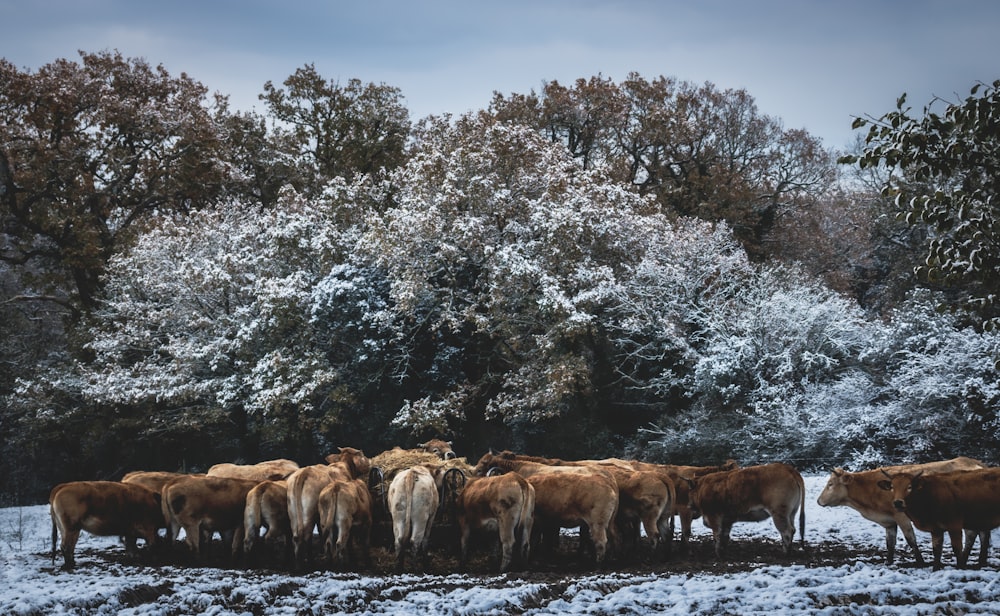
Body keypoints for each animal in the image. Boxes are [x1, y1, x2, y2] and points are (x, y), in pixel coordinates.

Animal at [816, 458, 988, 564]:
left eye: (830, 484)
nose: (818, 501)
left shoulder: (901, 516)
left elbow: (910, 539)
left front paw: (920, 562)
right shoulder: (889, 521)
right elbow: (890, 543)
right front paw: (889, 562)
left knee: (972, 534)